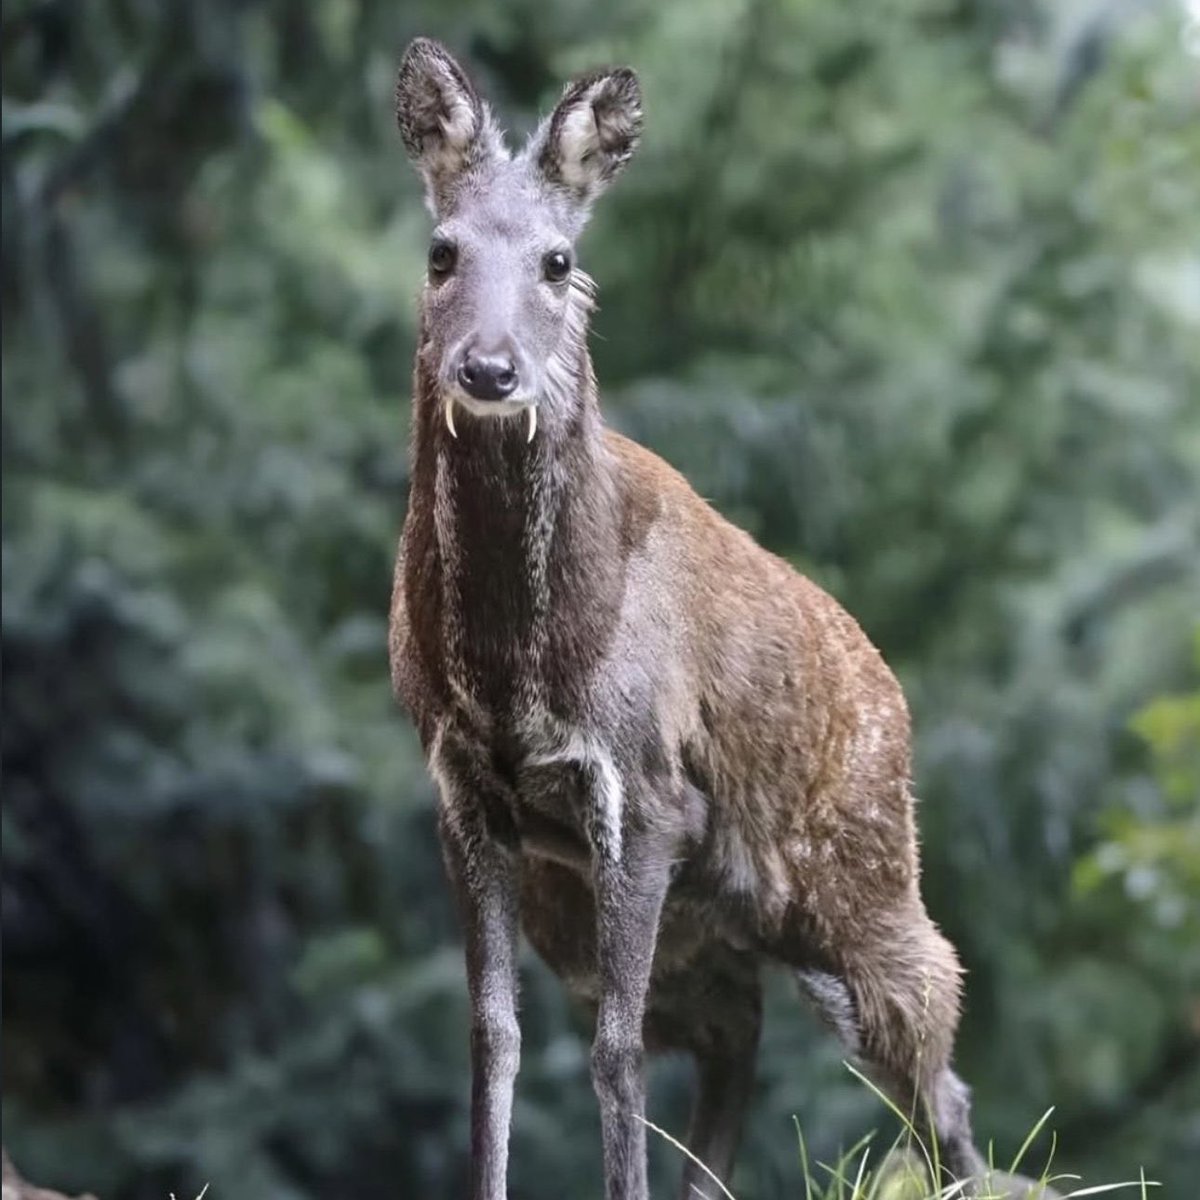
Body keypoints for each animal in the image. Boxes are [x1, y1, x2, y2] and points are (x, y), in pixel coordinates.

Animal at [388, 36, 989, 1200]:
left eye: (558, 262)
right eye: (441, 252)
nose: (489, 368)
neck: (517, 663)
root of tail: (888, 689)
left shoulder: (647, 790)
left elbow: (616, 1052)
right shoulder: (465, 796)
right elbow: (494, 1039)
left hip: (863, 874)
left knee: (937, 1060)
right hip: (665, 918)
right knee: (734, 1039)